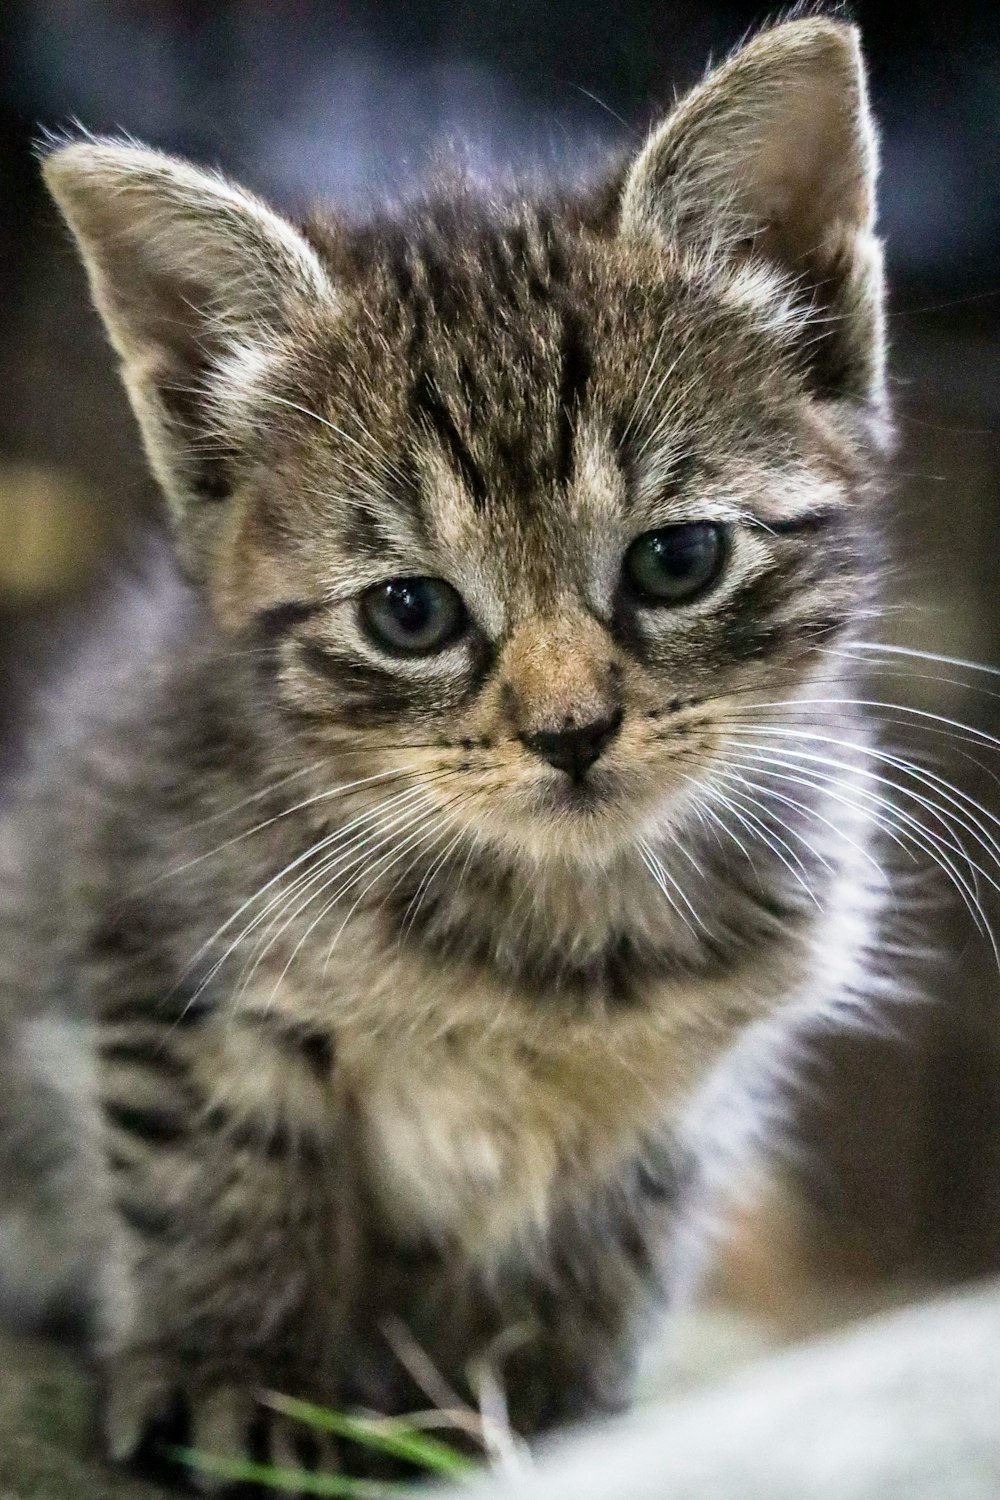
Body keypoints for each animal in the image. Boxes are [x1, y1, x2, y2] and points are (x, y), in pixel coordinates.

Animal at [0, 11, 893, 1482]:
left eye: (679, 559)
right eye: (409, 614)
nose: (571, 731)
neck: (556, 939)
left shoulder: (682, 1105)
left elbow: (595, 1274)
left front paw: (549, 1420)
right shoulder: (155, 929)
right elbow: (217, 1166)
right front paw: (235, 1376)